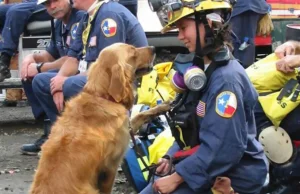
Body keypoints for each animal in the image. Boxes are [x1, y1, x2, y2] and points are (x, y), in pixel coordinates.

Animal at [29, 42, 156, 194]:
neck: (101, 96)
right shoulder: (110, 167)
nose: (153, 48)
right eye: (133, 52)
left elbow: (140, 115)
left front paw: (164, 106)